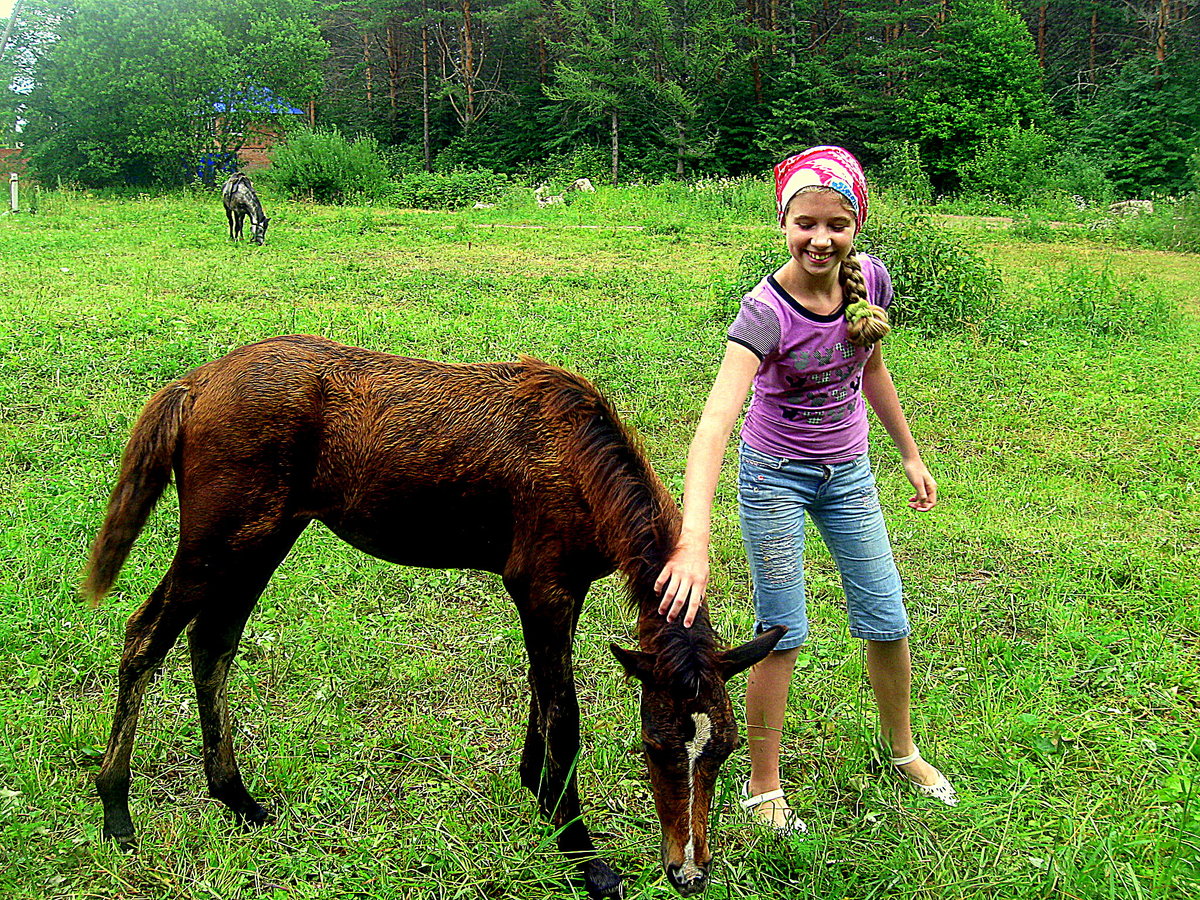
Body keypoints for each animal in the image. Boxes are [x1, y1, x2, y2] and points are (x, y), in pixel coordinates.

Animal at [84, 335, 784, 898]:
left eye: (724, 748)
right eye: (656, 747)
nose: (688, 873)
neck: (578, 458)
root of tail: (196, 383)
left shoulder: (564, 590)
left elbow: (542, 695)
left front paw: (539, 791)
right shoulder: (542, 587)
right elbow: (564, 715)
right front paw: (580, 849)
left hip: (260, 540)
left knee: (211, 646)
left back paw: (238, 800)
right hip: (218, 542)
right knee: (145, 639)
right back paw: (116, 811)